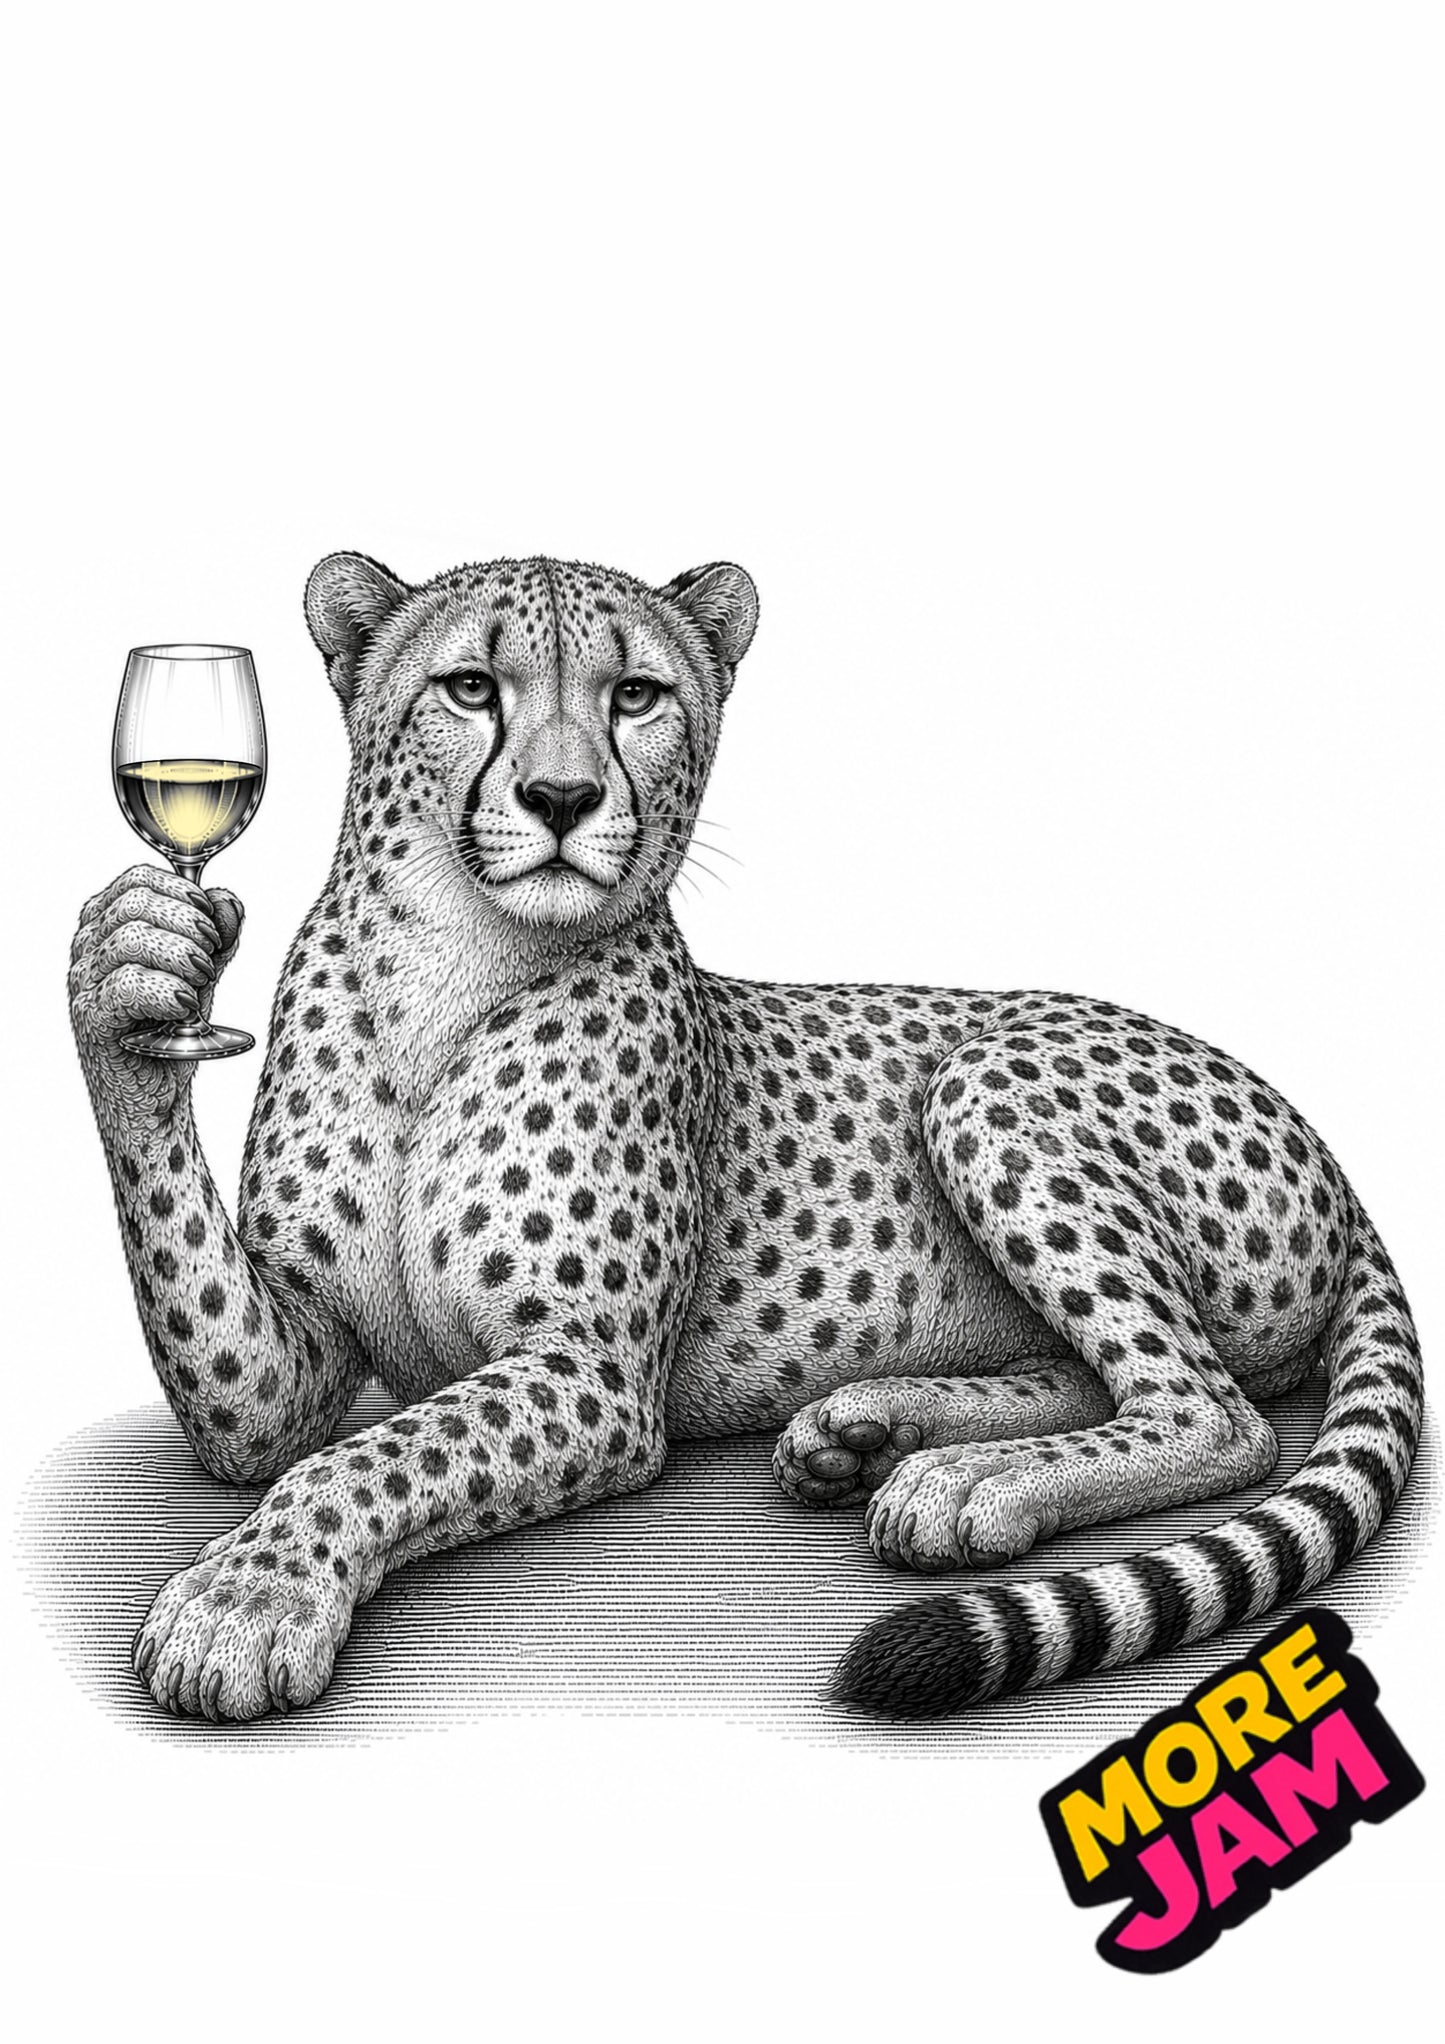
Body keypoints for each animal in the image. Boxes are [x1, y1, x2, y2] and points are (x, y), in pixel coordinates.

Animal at [68, 551, 1423, 1722]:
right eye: (468, 687)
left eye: (633, 695)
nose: (560, 798)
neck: (445, 969)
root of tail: (1325, 1150)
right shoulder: (282, 1372)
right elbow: (275, 1412)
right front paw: (129, 965)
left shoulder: (591, 1371)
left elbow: (369, 1457)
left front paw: (243, 1602)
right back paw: (868, 1429)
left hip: (983, 1079)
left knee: (1214, 1411)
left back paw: (970, 1480)